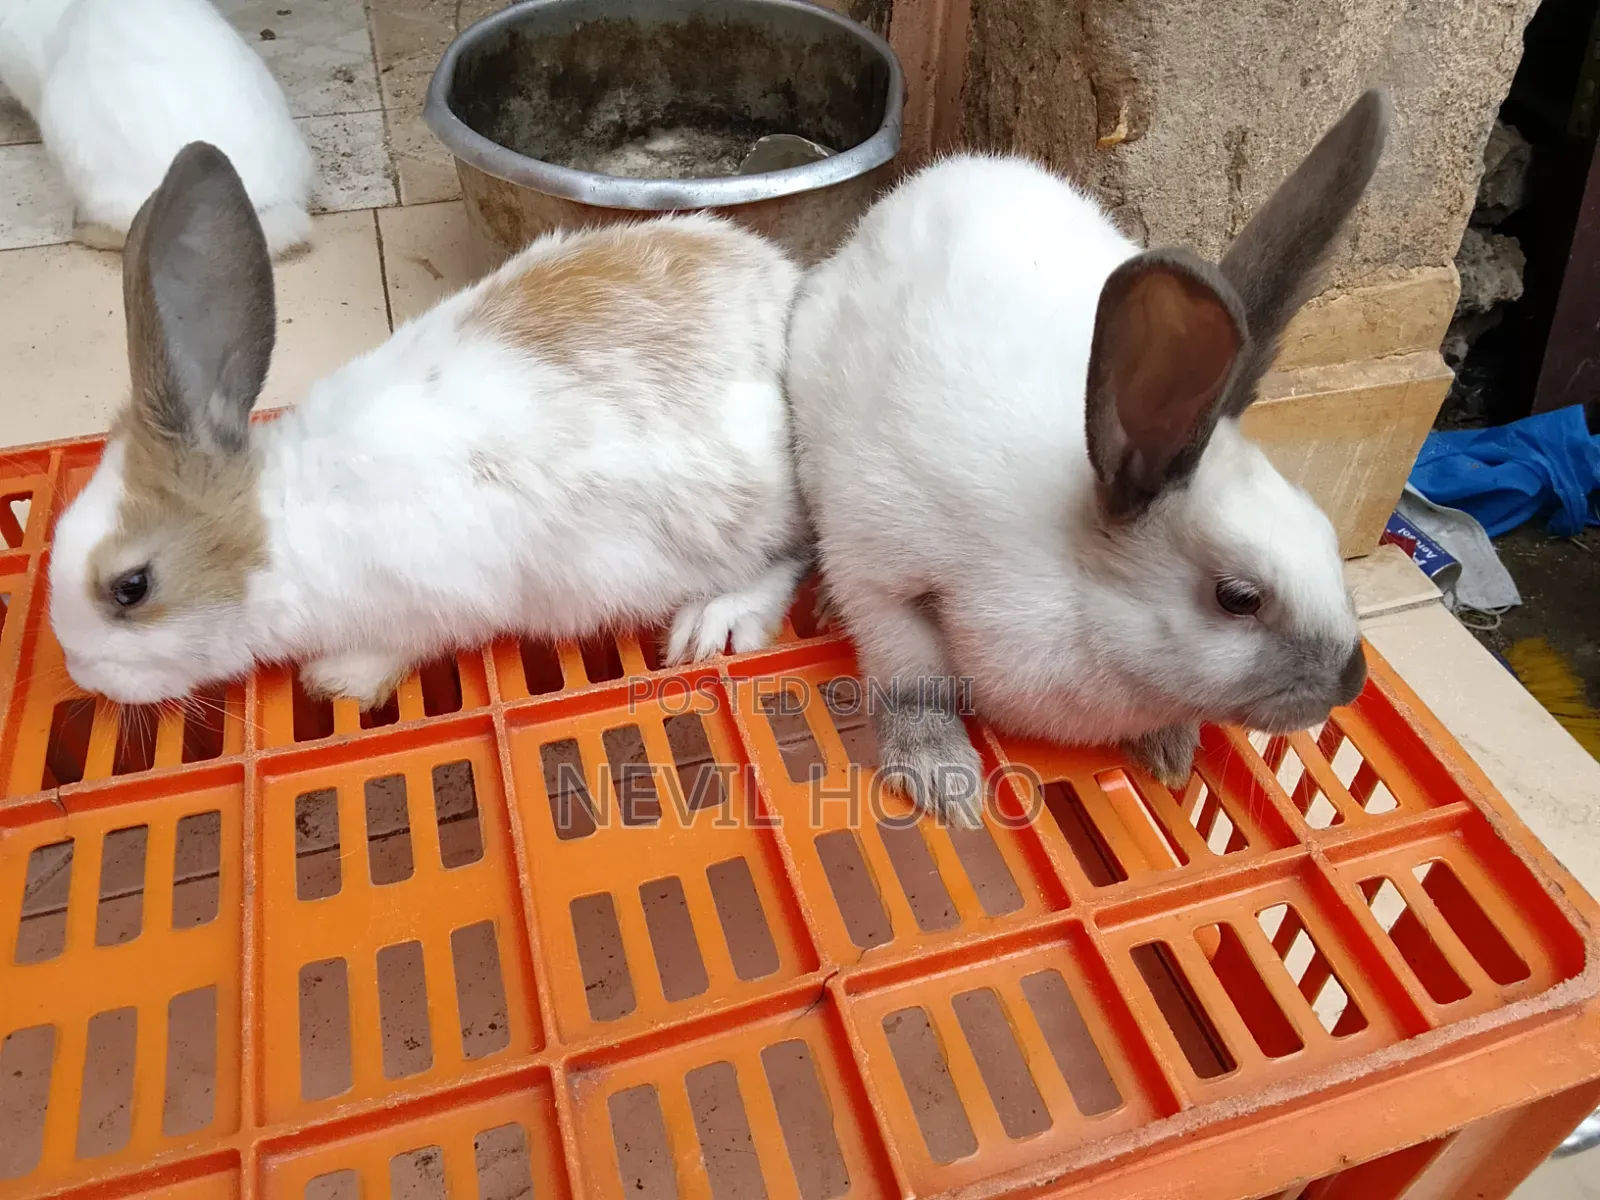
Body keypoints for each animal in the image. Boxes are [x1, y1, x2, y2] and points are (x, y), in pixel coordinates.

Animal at [48, 142, 810, 708]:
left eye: (132, 587)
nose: (81, 671)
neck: (280, 529)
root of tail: (791, 289)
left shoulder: (440, 599)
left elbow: (405, 643)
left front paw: (339, 680)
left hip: (744, 517)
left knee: (789, 559)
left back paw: (714, 623)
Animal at [786, 91, 1390, 827]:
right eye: (1238, 598)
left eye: (1326, 531)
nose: (1351, 681)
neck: (1073, 577)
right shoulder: (883, 571)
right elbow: (911, 681)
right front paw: (945, 781)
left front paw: (1170, 754)